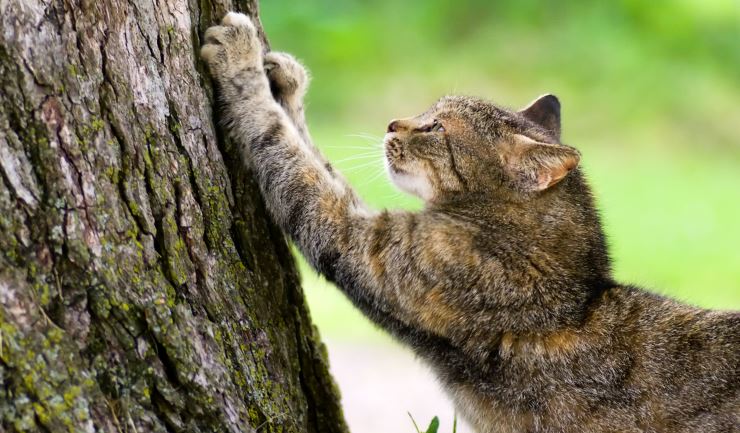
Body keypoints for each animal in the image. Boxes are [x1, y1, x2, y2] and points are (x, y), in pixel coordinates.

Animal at [202, 12, 740, 432]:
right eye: (428, 110)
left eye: (437, 126)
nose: (393, 123)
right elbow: (314, 154)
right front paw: (285, 80)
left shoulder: (365, 243)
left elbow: (289, 153)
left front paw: (241, 62)